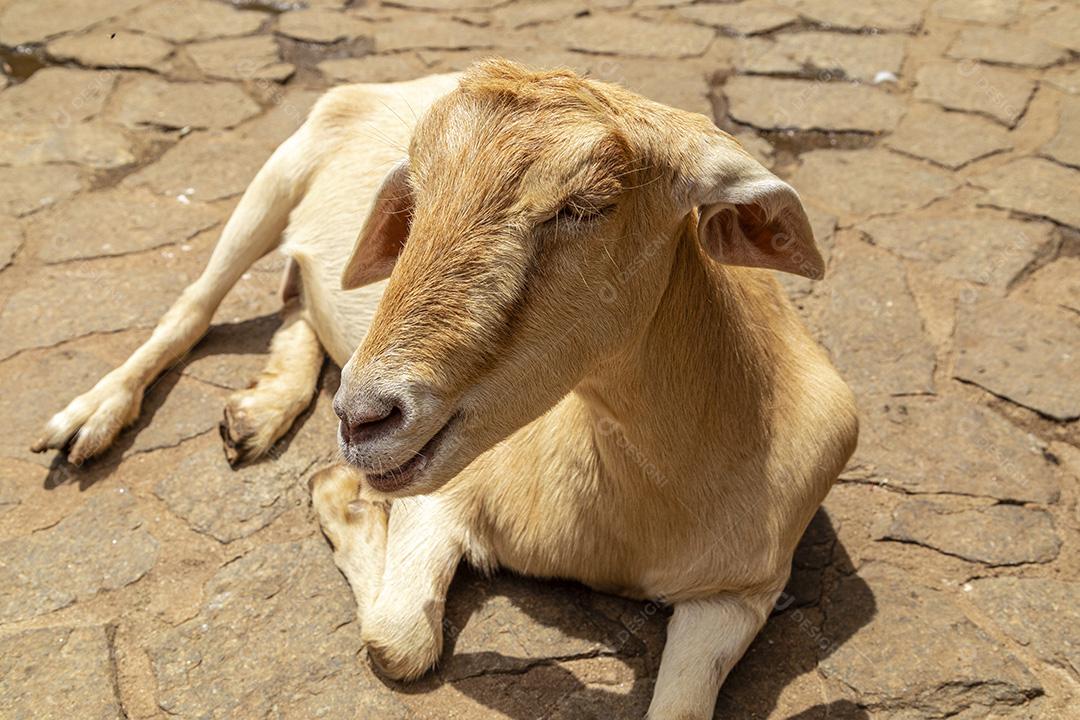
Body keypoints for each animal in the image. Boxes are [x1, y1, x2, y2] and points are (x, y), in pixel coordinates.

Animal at [35, 62, 859, 720]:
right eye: (415, 198)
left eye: (587, 205)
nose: (363, 418)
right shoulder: (442, 498)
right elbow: (399, 642)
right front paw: (341, 498)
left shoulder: (741, 591)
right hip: (275, 175)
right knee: (196, 303)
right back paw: (89, 421)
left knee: (299, 291)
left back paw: (262, 408)